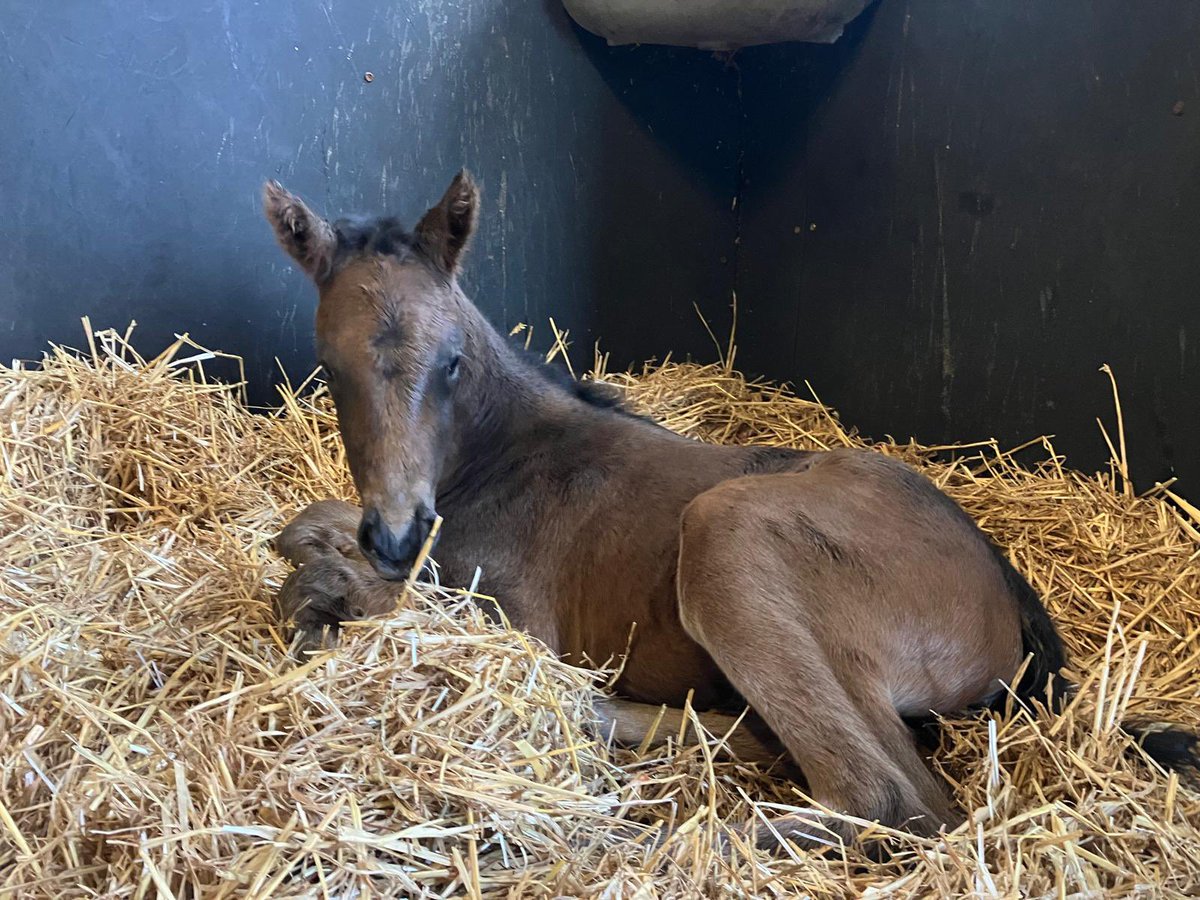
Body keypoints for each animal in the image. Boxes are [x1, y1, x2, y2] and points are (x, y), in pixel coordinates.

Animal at [262, 171, 1199, 853]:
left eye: (452, 361)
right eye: (329, 368)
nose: (396, 534)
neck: (503, 455)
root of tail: (1009, 603)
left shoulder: (520, 623)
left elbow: (404, 617)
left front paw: (322, 595)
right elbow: (312, 530)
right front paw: (317, 557)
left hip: (729, 535)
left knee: (896, 795)